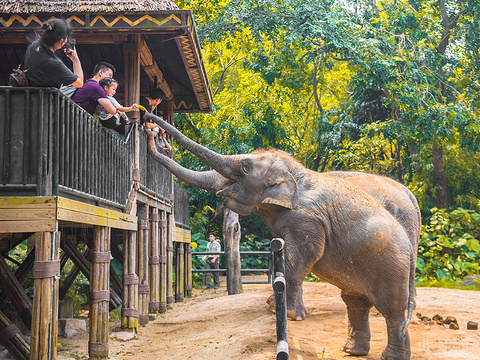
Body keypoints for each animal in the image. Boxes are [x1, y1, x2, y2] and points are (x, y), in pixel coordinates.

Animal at [143, 111, 420, 358]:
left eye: (245, 167)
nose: (150, 126)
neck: (296, 172)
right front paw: (286, 311)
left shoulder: (307, 220)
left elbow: (304, 255)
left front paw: (279, 311)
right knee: (355, 301)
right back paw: (352, 351)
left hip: (391, 263)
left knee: (392, 308)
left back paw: (390, 355)